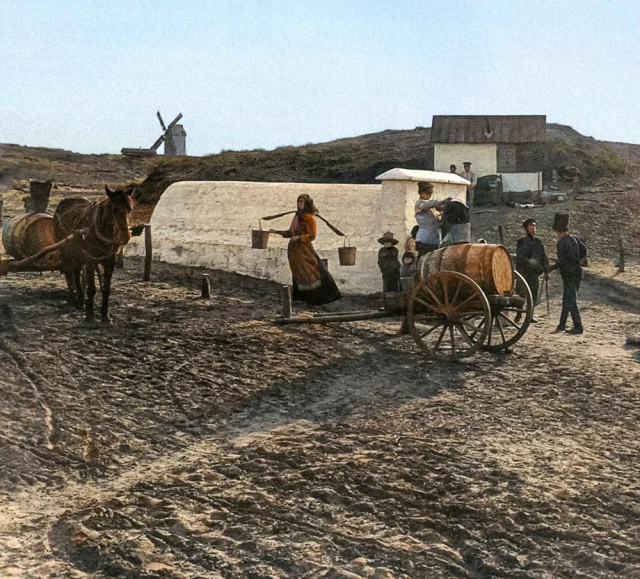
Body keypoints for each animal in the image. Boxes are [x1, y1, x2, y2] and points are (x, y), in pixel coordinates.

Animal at [54, 185, 135, 324]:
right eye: (114, 209)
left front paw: (105, 315)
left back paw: (80, 299)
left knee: (77, 273)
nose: (125, 236)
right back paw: (74, 298)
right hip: (67, 252)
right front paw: (90, 315)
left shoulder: (110, 262)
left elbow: (106, 289)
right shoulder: (90, 260)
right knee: (71, 274)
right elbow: (91, 288)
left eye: (130, 209)